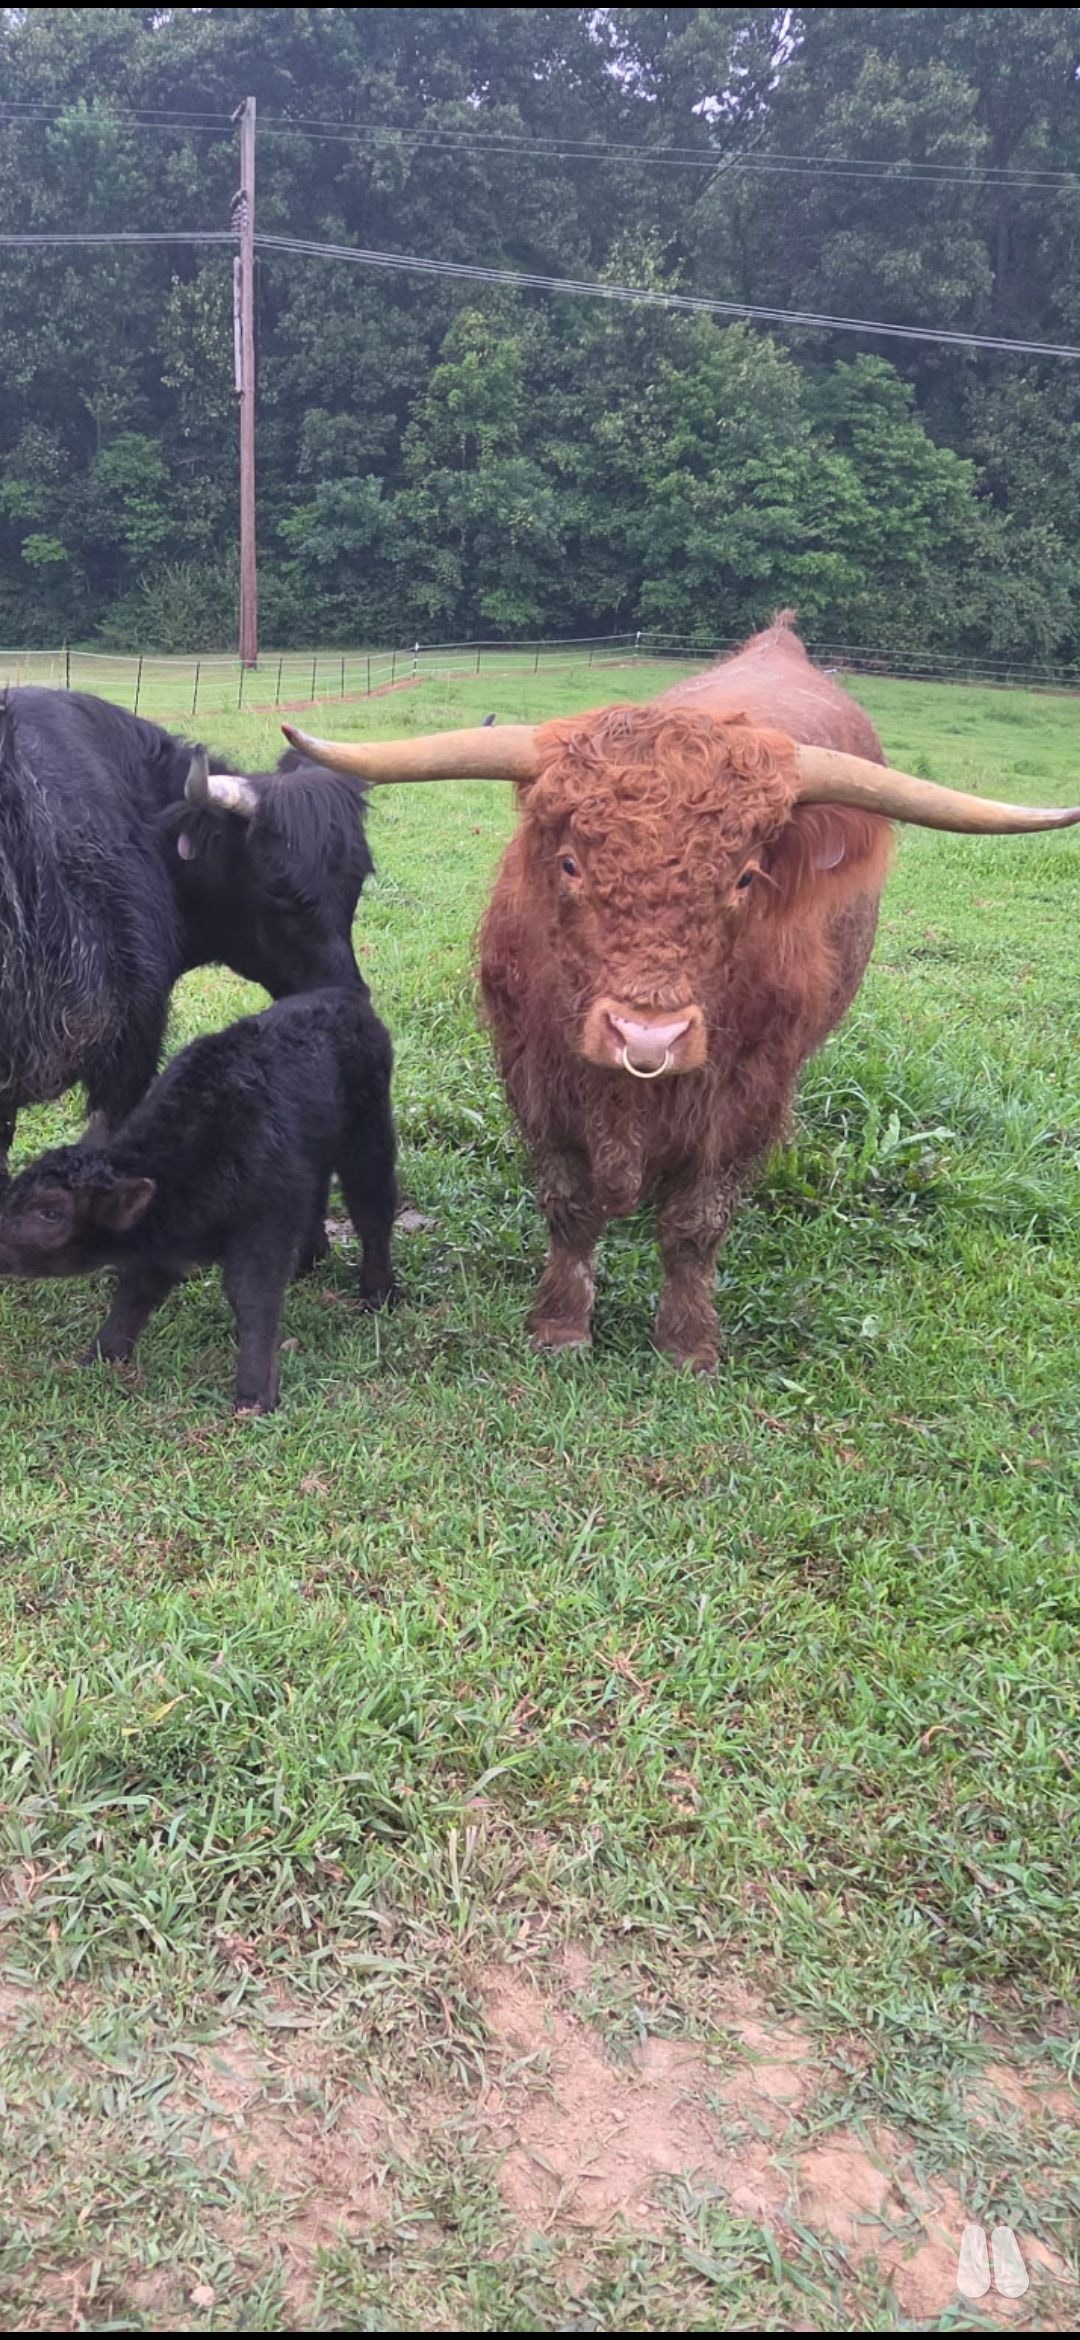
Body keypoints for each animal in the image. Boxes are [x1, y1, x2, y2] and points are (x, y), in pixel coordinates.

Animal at [0, 986, 398, 1415]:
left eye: (50, 1213)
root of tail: (341, 996)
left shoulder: (265, 1221)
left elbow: (252, 1297)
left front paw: (254, 1395)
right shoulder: (162, 1241)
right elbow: (136, 1291)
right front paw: (100, 1356)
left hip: (368, 1135)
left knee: (374, 1209)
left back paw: (378, 1292)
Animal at [281, 616, 1080, 1370]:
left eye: (745, 877)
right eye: (571, 863)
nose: (647, 1037)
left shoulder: (746, 1096)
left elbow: (696, 1225)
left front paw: (687, 1342)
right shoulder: (536, 1074)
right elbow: (568, 1208)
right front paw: (560, 1325)